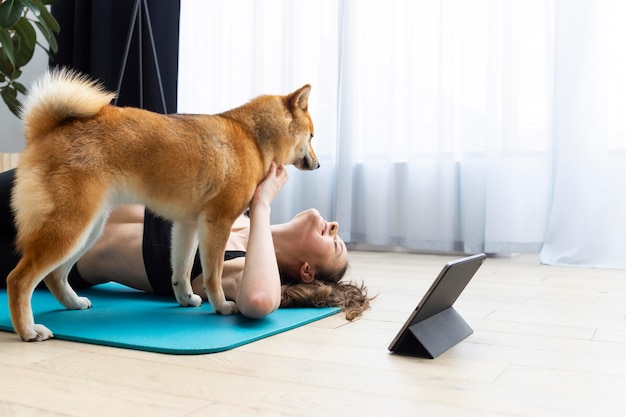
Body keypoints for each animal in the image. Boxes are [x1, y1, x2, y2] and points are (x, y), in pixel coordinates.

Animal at [4, 69, 316, 342]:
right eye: (312, 136)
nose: (319, 163)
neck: (253, 139)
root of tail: (44, 131)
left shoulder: (187, 225)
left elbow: (181, 269)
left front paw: (186, 297)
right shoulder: (218, 223)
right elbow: (213, 275)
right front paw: (221, 305)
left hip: (87, 231)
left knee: (54, 276)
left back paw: (72, 303)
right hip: (70, 227)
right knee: (19, 280)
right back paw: (28, 330)